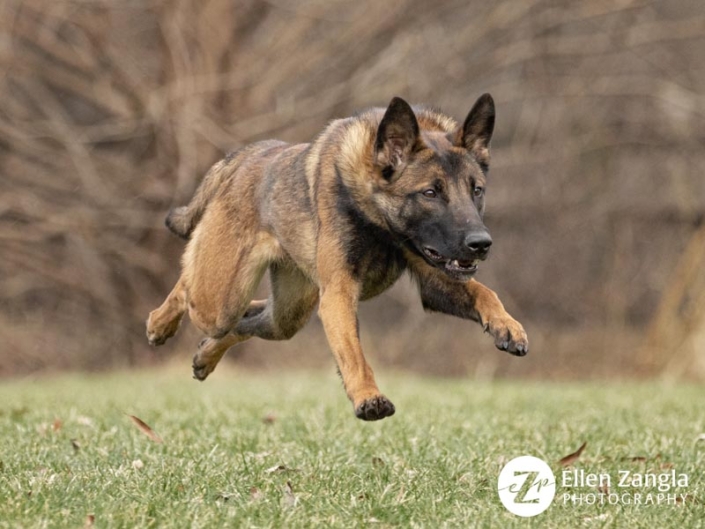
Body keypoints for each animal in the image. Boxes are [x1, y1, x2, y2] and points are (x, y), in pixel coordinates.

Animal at [146, 94, 524, 420]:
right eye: (430, 192)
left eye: (476, 190)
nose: (481, 243)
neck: (378, 222)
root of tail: (245, 156)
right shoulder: (339, 293)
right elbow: (353, 353)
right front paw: (368, 396)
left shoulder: (433, 278)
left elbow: (484, 292)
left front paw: (507, 324)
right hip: (220, 298)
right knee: (190, 286)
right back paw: (160, 323)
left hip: (287, 315)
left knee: (247, 319)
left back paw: (205, 356)